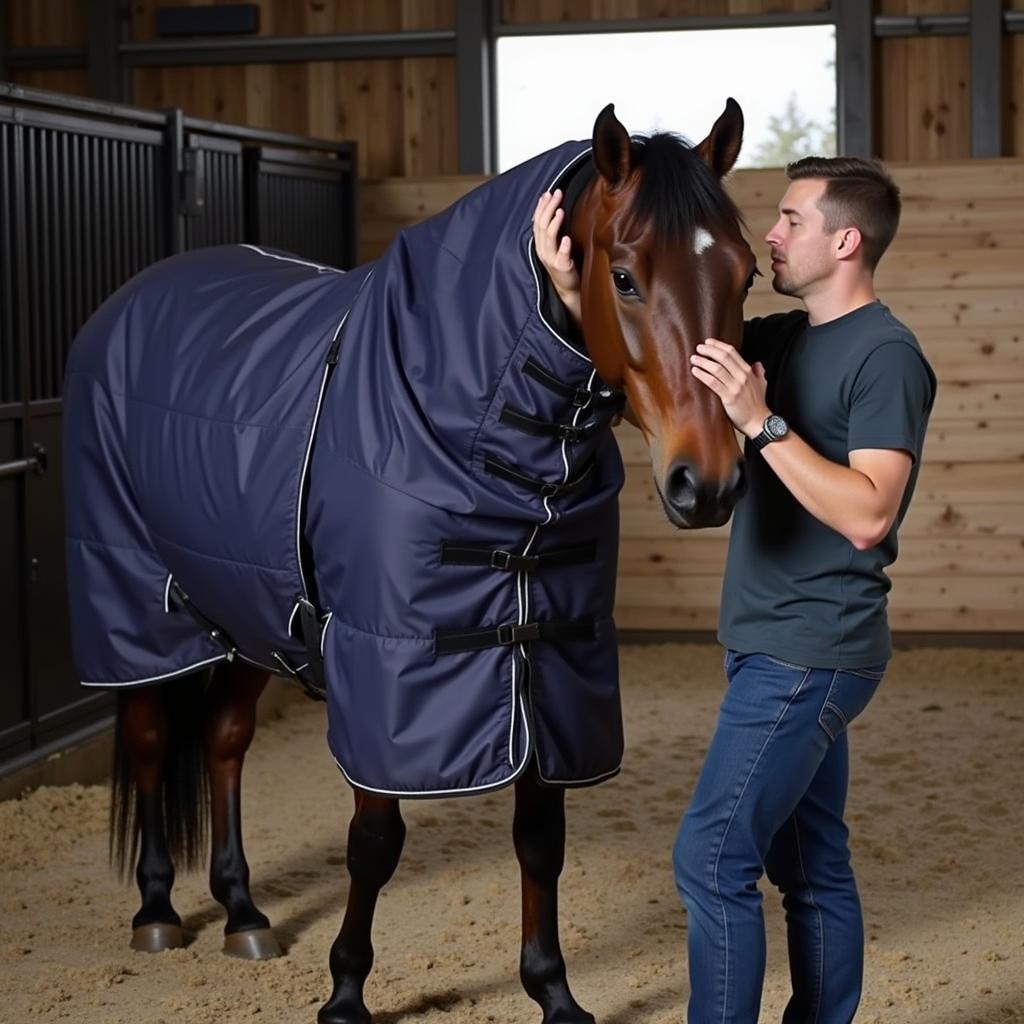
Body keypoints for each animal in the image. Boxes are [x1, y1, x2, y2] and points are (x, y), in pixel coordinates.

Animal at [64, 97, 753, 1024]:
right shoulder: (386, 671)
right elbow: (375, 840)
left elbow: (540, 838)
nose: (706, 484)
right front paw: (346, 991)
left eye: (747, 276)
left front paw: (552, 990)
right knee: (146, 737)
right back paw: (157, 910)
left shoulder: (546, 658)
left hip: (250, 612)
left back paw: (242, 910)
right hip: (141, 604)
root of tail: (128, 302)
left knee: (223, 741)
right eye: (626, 276)